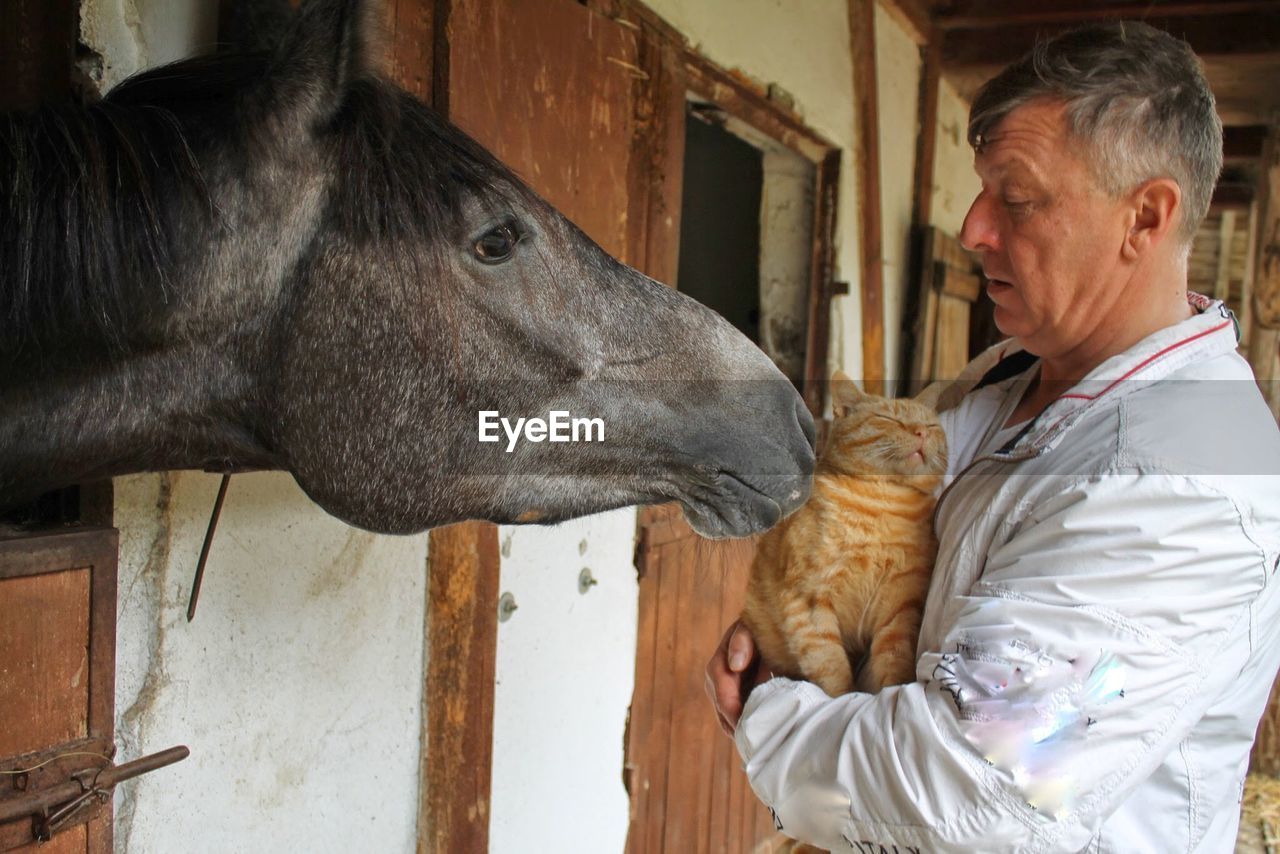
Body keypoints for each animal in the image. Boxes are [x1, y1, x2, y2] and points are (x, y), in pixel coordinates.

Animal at [742, 371, 952, 696]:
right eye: (888, 419)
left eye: (931, 425)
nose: (921, 433)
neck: (884, 504)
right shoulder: (808, 600)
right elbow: (831, 670)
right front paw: (841, 695)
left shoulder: (900, 607)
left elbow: (893, 666)